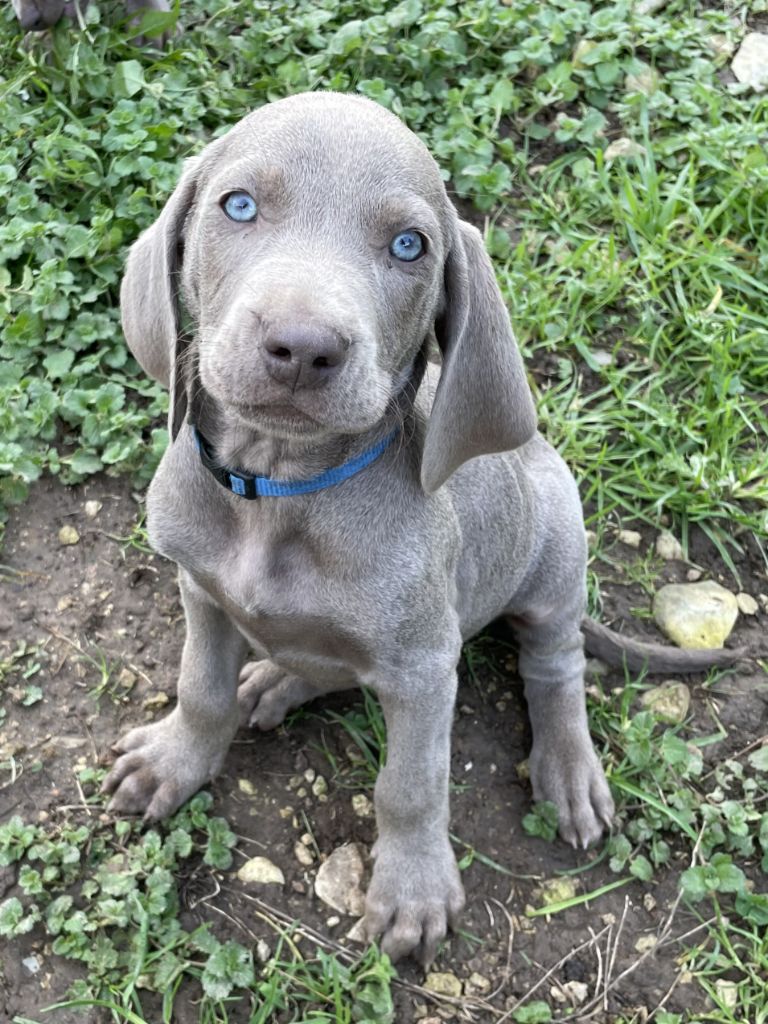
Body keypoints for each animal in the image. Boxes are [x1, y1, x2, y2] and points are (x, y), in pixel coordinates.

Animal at [105, 92, 737, 962]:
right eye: (238, 206)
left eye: (410, 245)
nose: (303, 347)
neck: (283, 491)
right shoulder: (199, 590)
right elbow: (199, 688)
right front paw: (174, 760)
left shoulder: (424, 666)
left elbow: (410, 784)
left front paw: (413, 891)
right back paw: (275, 679)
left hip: (553, 555)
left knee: (555, 666)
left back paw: (567, 768)